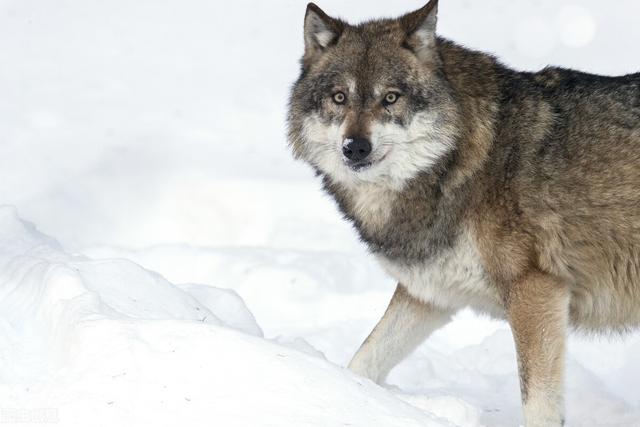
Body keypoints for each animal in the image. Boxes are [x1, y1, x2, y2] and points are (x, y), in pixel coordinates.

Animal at [288, 1, 640, 426]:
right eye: (339, 97)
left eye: (391, 98)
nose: (355, 147)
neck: (461, 162)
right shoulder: (429, 294)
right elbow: (364, 359)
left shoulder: (535, 291)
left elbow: (538, 402)